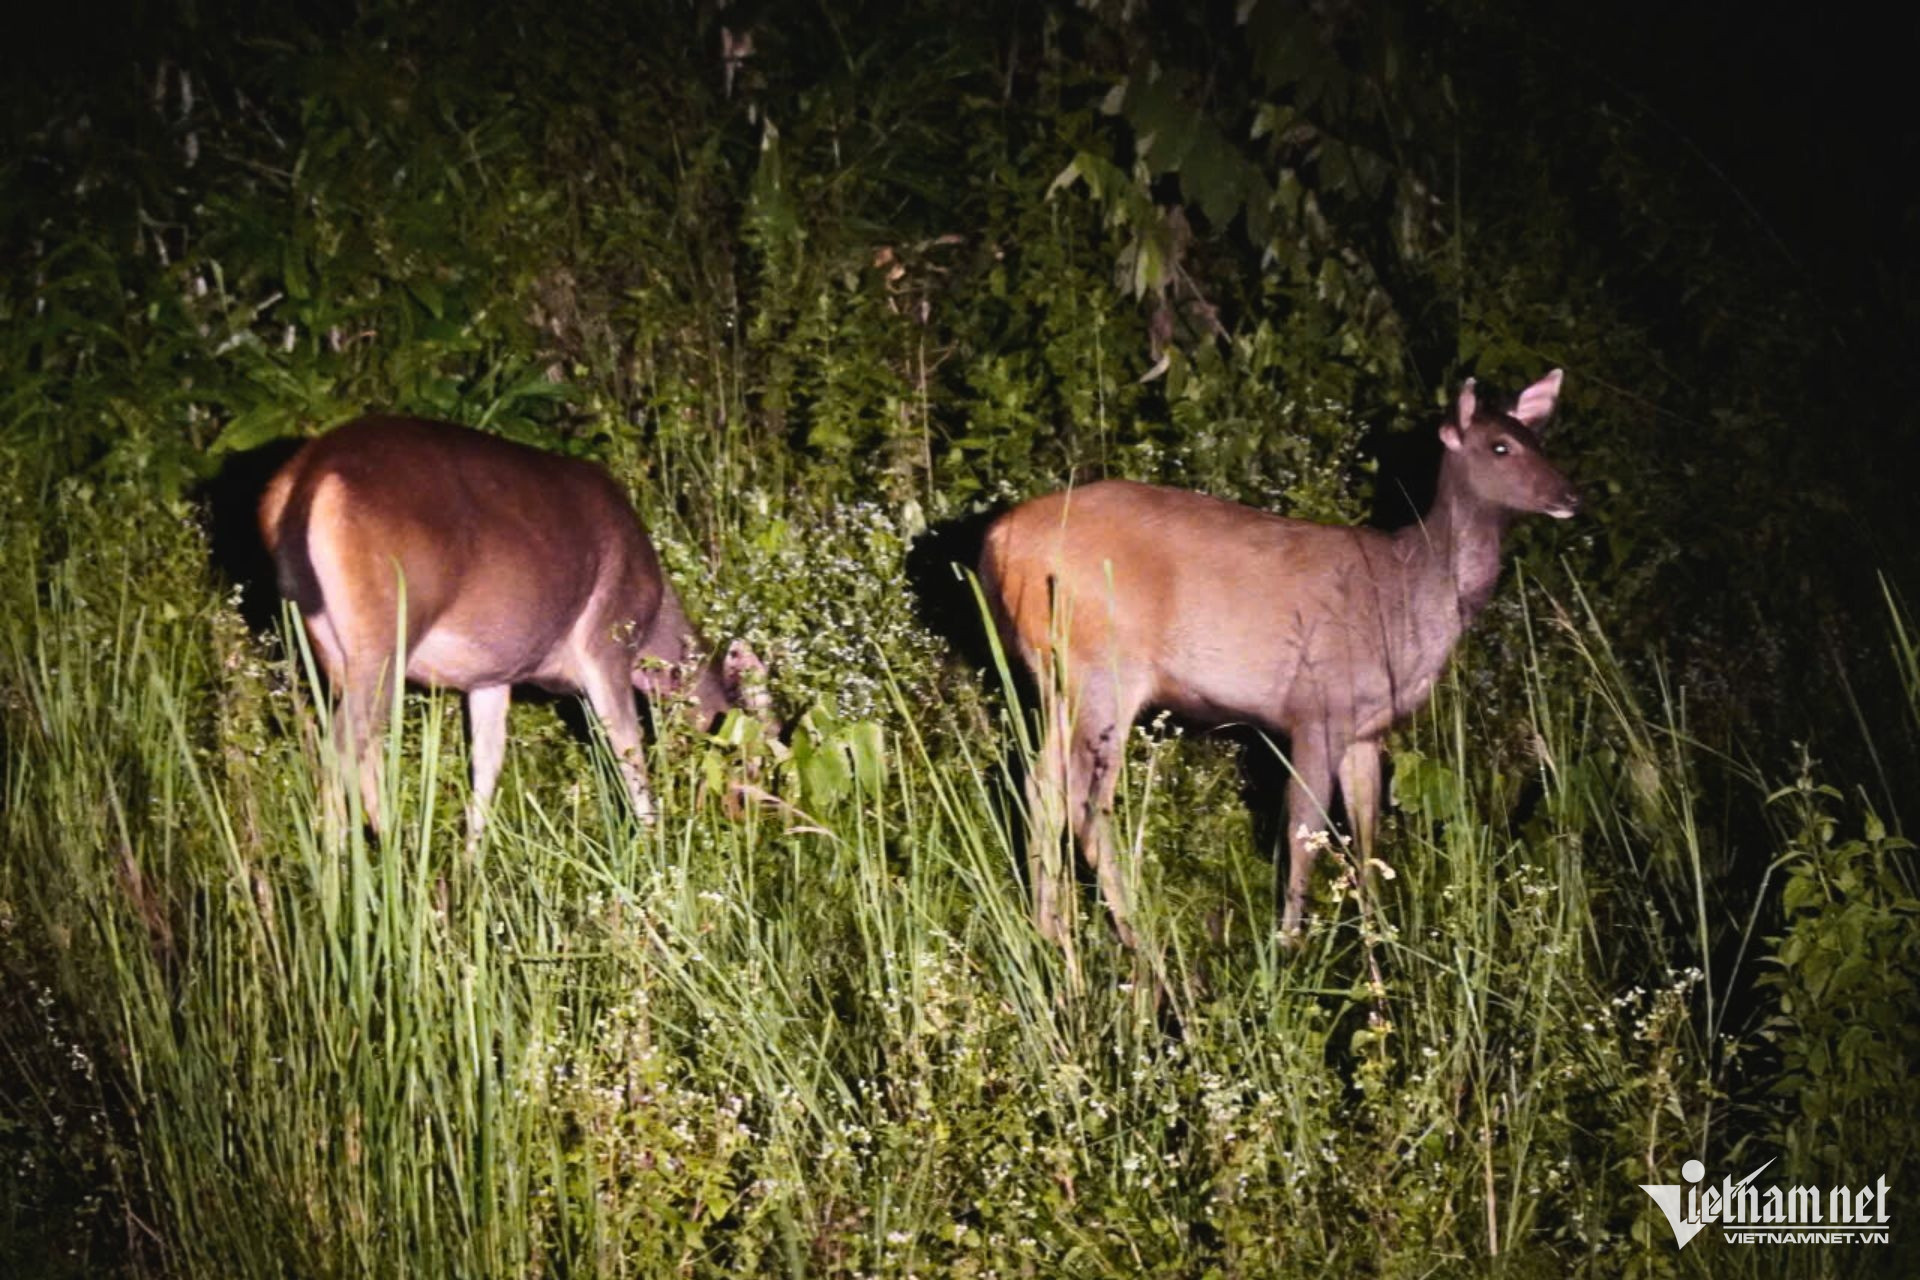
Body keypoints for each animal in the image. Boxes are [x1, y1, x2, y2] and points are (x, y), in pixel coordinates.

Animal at [259, 418, 768, 840]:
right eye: (760, 749)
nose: (760, 830)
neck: (655, 626)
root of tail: (309, 476)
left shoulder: (491, 677)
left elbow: (487, 763)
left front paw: (473, 864)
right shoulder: (606, 645)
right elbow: (629, 751)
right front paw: (655, 849)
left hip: (326, 643)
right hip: (384, 635)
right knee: (341, 748)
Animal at [983, 364, 1582, 948]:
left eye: (1540, 439)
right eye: (1501, 446)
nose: (1571, 496)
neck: (1410, 593)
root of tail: (999, 539)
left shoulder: (1367, 728)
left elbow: (1366, 834)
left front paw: (1378, 942)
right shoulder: (1317, 706)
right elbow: (1304, 828)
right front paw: (1290, 942)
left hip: (1059, 676)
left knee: (1041, 786)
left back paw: (1050, 934)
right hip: (1106, 666)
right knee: (1088, 805)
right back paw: (1137, 946)